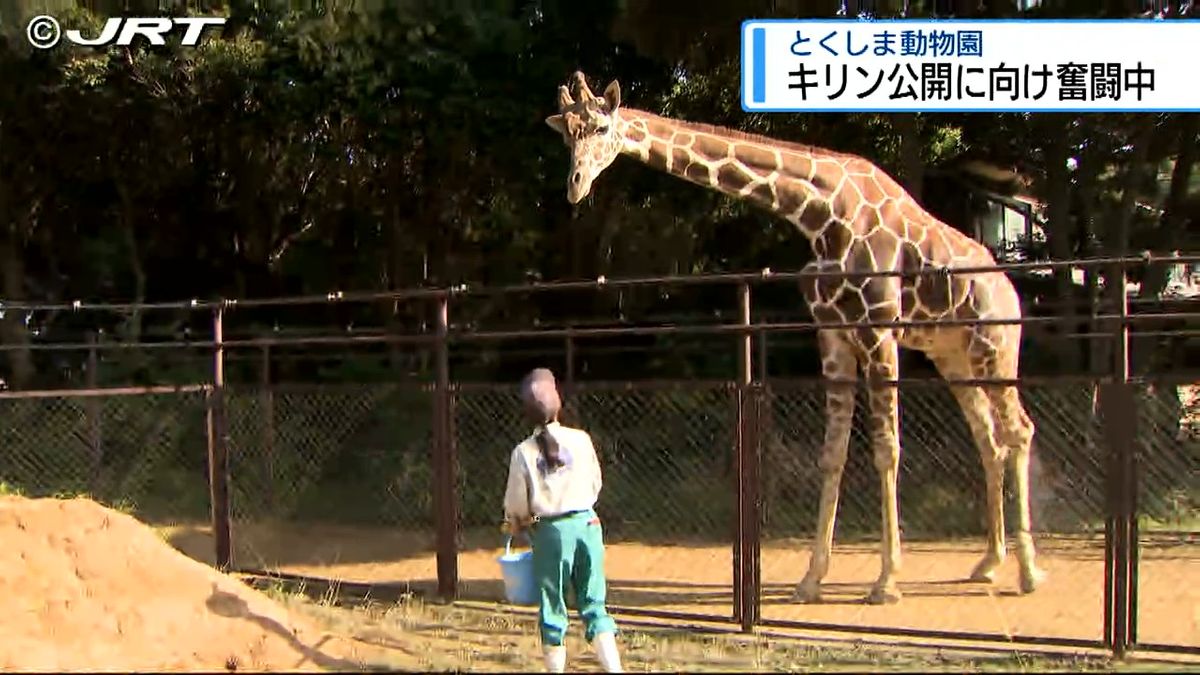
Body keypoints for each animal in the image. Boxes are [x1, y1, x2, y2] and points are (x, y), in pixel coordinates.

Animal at [544, 70, 1041, 600]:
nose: (575, 187)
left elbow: (887, 450)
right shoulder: (833, 335)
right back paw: (988, 562)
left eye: (600, 127)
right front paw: (811, 577)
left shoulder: (879, 330)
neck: (818, 213)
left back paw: (1029, 571)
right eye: (566, 135)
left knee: (1019, 429)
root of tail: (1009, 290)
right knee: (988, 439)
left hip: (995, 347)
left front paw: (886, 580)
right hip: (954, 357)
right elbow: (833, 453)